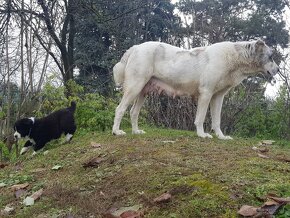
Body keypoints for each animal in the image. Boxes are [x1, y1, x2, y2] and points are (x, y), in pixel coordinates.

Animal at [111, 39, 278, 139]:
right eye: (270, 57)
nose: (277, 69)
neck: (234, 57)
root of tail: (136, 47)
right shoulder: (206, 93)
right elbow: (201, 117)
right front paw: (202, 134)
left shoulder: (218, 97)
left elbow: (216, 120)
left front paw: (221, 136)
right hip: (135, 87)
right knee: (120, 109)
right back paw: (116, 131)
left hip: (142, 91)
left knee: (133, 112)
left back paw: (135, 131)